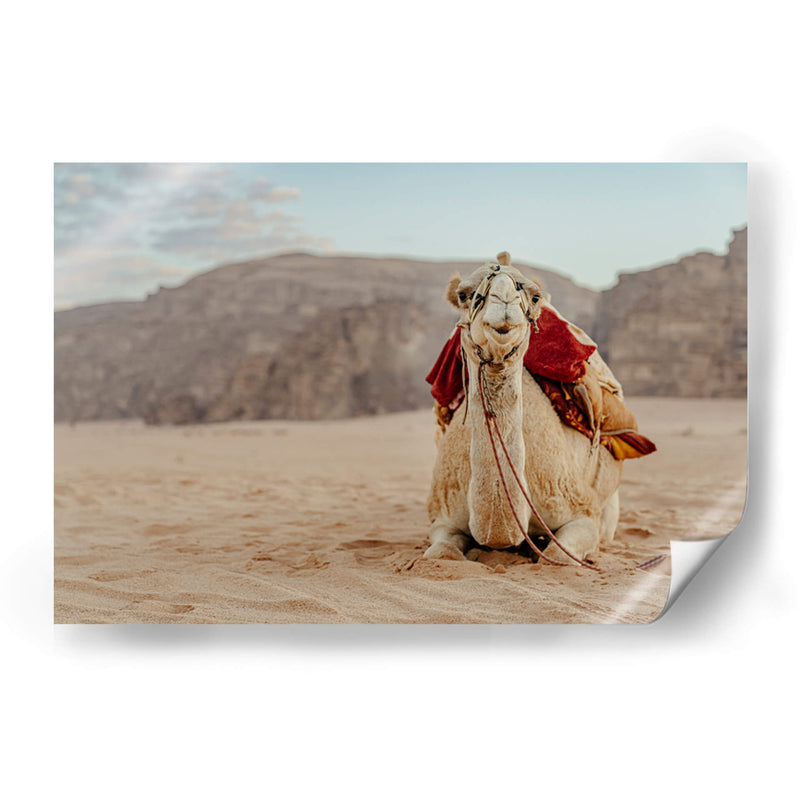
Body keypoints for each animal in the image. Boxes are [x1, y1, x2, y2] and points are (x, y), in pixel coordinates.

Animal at [425, 253, 624, 563]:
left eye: (535, 296)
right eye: (463, 295)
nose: (505, 301)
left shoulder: (582, 509)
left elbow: (559, 555)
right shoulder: (442, 516)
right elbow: (441, 553)